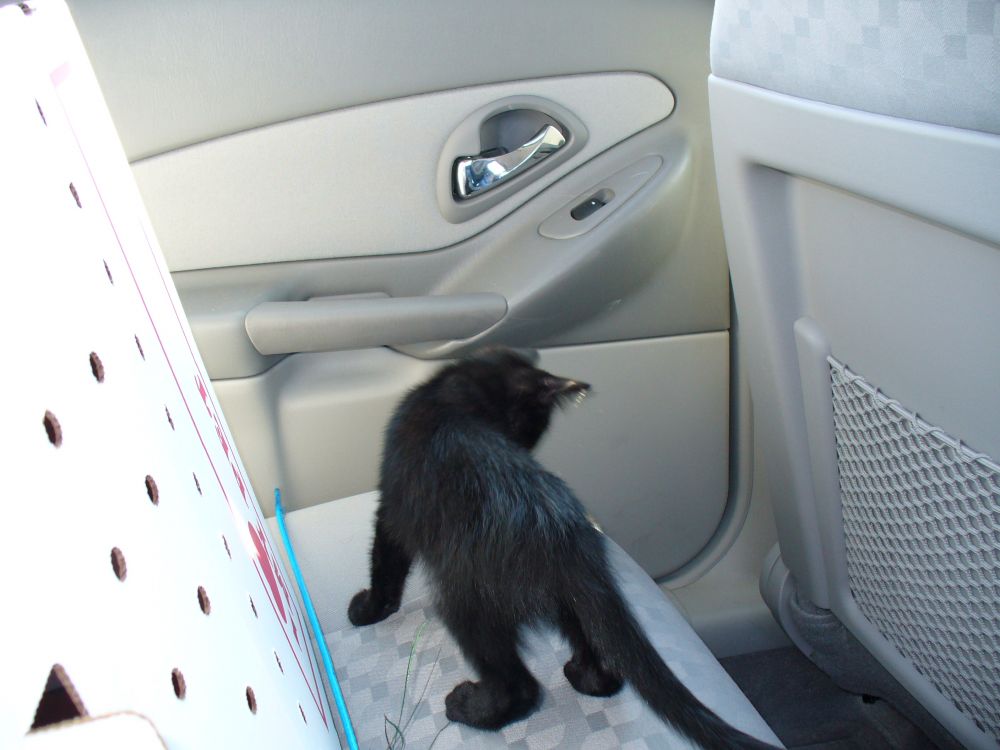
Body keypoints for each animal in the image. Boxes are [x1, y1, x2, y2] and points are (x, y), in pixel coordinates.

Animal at [348, 348, 775, 749]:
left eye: (525, 432)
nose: (522, 450)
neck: (451, 398)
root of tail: (567, 537)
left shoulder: (393, 507)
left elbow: (385, 563)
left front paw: (369, 609)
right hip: (572, 601)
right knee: (599, 647)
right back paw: (589, 678)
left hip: (468, 599)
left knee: (521, 686)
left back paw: (472, 709)